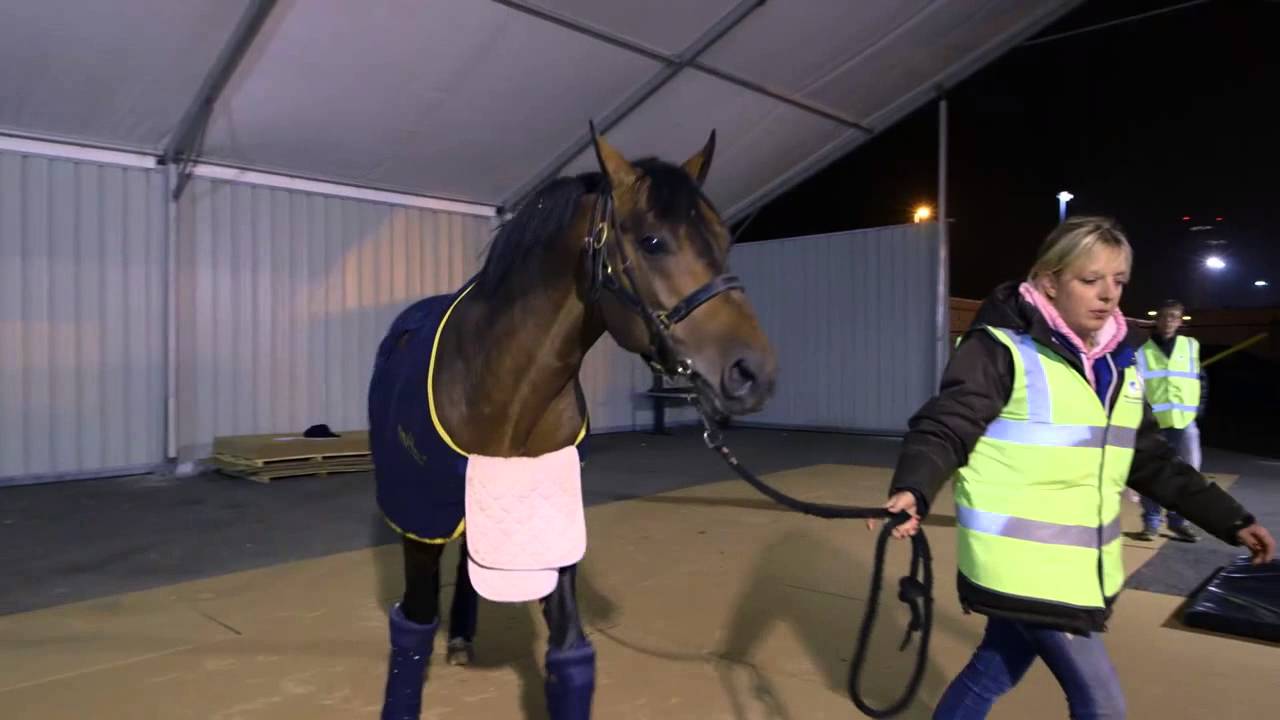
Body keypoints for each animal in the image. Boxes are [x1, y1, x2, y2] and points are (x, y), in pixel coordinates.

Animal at [367, 127, 778, 720]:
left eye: (724, 238)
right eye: (652, 241)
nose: (754, 372)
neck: (502, 393)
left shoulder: (552, 523)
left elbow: (569, 657)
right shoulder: (420, 522)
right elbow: (412, 633)